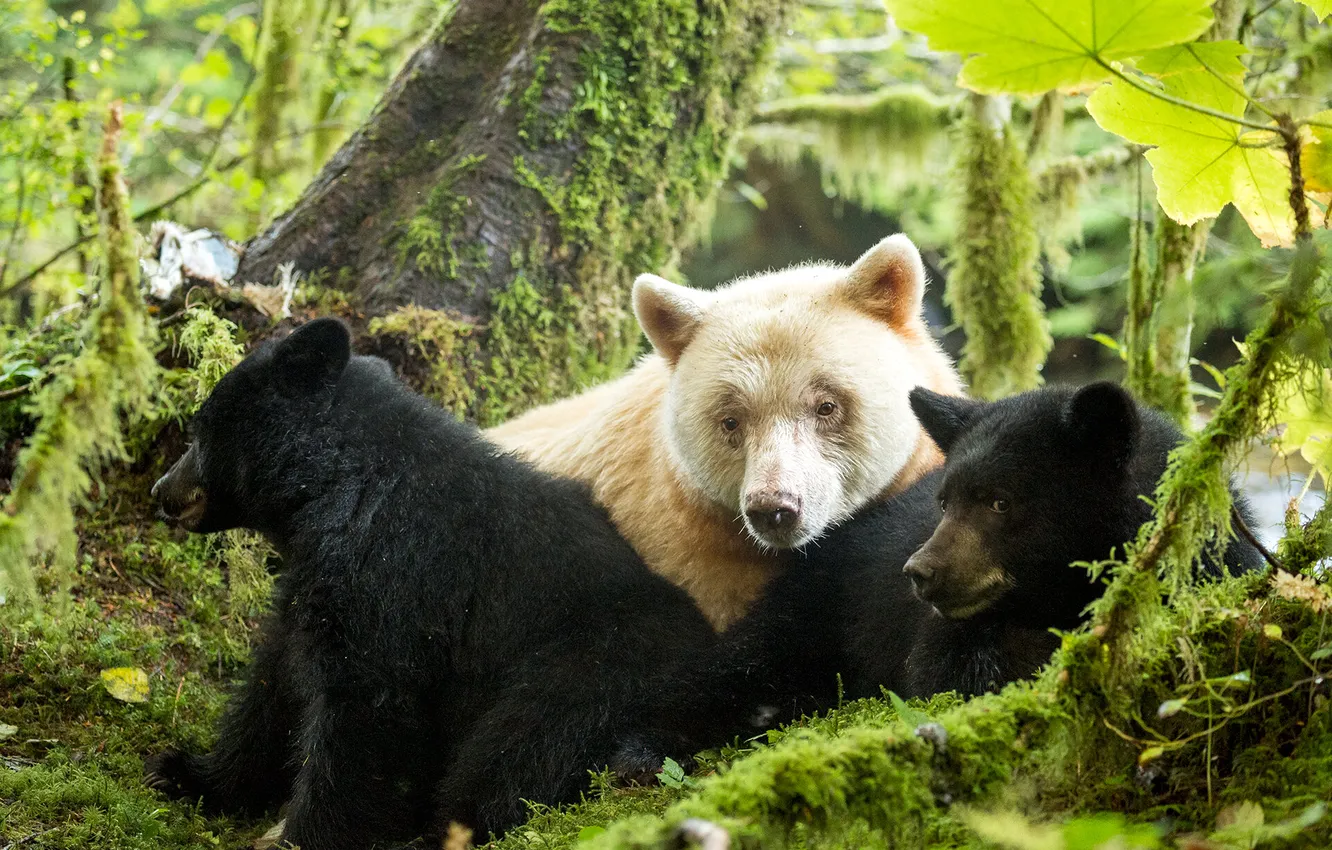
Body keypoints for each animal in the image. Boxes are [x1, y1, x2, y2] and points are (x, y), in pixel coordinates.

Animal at [145, 318, 716, 850]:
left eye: (198, 430)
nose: (161, 490)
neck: (338, 490)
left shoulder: (394, 577)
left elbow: (367, 717)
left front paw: (306, 834)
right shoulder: (312, 591)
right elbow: (273, 689)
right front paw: (186, 774)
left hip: (597, 666)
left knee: (521, 749)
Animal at [626, 381, 1264, 755]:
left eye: (1001, 501)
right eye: (944, 500)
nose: (920, 571)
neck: (1059, 598)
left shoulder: (1211, 567)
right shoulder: (946, 626)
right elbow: (943, 675)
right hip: (818, 610)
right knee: (738, 665)